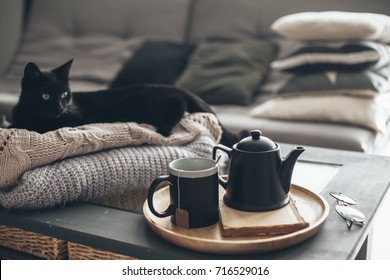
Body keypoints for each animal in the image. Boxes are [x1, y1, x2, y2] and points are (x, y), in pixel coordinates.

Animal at [11, 59, 247, 147]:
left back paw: (165, 128)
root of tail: (176, 87)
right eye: (45, 96)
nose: (61, 108)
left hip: (147, 102)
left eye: (64, 94)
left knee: (178, 104)